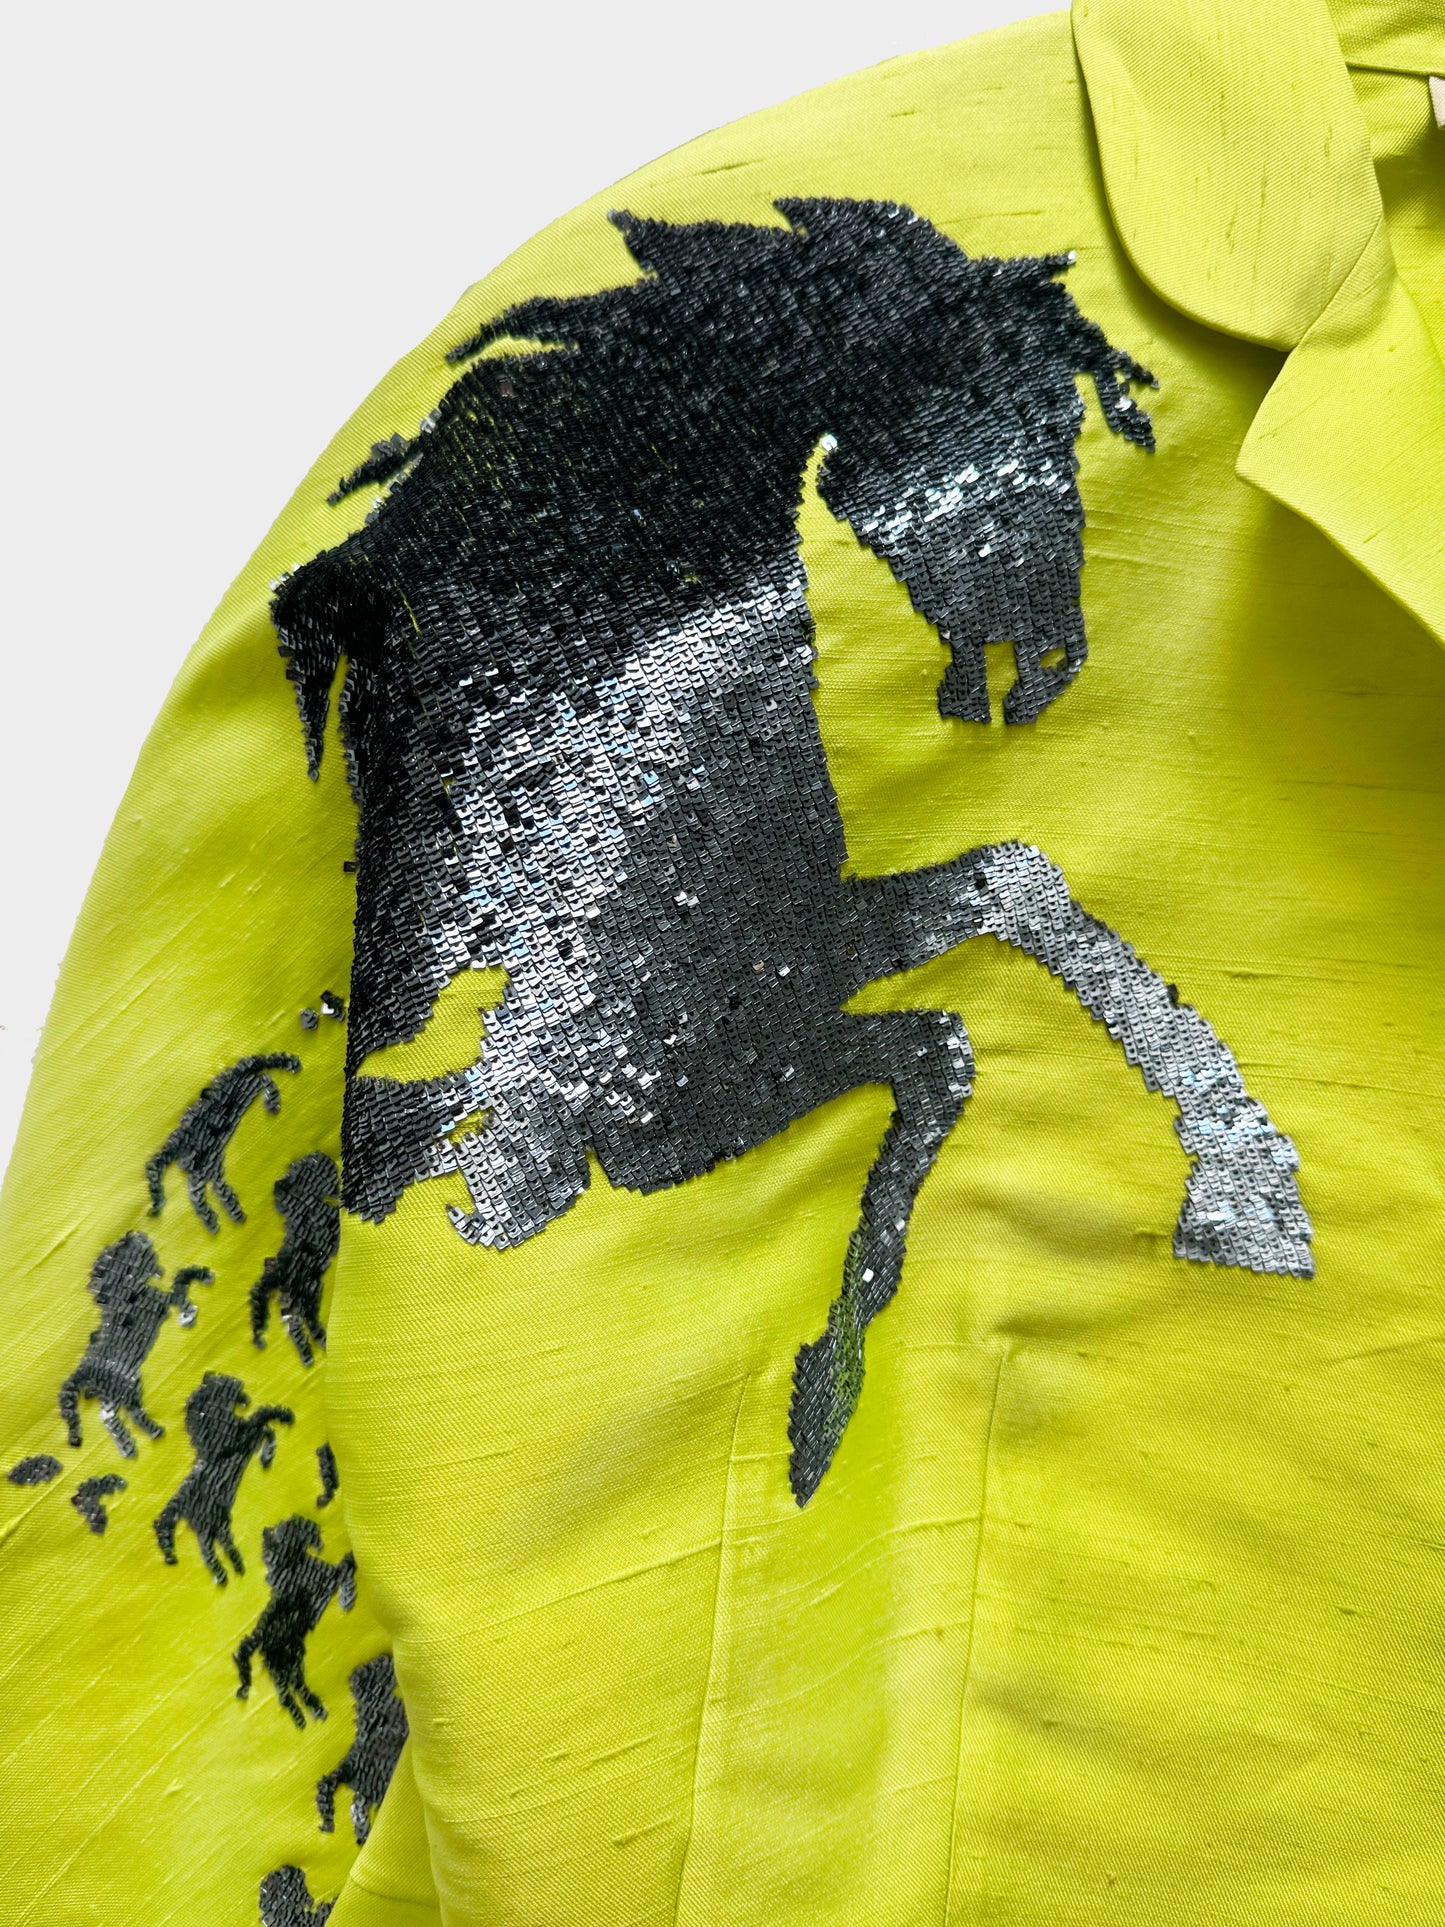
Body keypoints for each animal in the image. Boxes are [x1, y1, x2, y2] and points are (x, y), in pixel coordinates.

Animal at [273, 198, 1312, 1504]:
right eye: (1038, 409)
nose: (1046, 661)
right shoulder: (685, 1091)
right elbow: (947, 1038)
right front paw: (823, 1409)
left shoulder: (766, 997)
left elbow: (1005, 907)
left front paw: (1240, 1186)